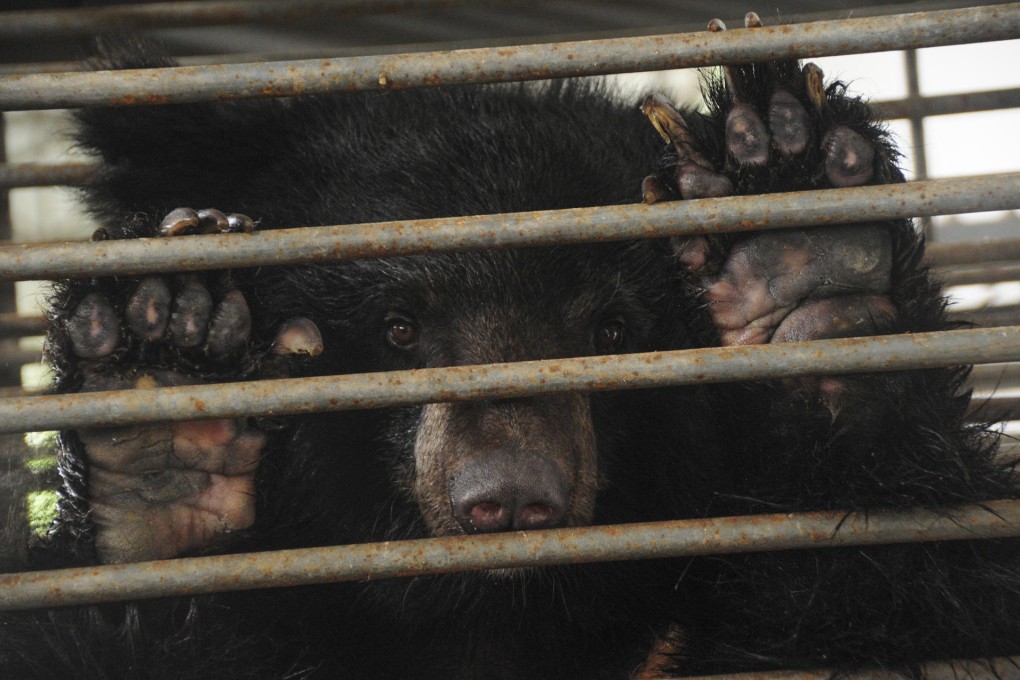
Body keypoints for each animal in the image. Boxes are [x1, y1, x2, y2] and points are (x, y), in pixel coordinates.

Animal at [1, 15, 1020, 680]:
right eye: (399, 326)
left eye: (612, 330)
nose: (510, 494)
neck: (491, 620)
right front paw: (164, 341)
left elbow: (920, 599)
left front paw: (803, 254)